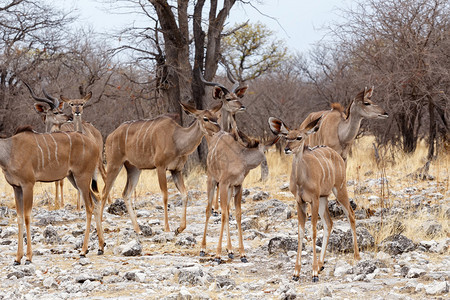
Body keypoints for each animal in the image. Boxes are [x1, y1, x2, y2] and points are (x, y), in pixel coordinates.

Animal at [0, 126, 104, 264]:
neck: (9, 151)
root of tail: (95, 146)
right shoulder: (16, 188)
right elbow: (19, 218)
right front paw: (17, 258)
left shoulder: (28, 185)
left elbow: (27, 217)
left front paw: (28, 257)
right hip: (74, 178)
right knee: (97, 200)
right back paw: (100, 247)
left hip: (82, 177)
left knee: (89, 207)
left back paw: (83, 251)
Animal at [101, 102, 221, 236]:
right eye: (205, 118)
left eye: (216, 117)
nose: (219, 130)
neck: (176, 140)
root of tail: (109, 137)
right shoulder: (160, 167)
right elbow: (165, 196)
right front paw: (167, 228)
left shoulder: (176, 170)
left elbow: (185, 194)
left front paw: (179, 228)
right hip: (114, 164)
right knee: (104, 192)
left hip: (134, 169)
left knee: (126, 193)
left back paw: (138, 230)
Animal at [200, 129, 278, 262]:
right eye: (264, 149)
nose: (265, 161)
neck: (241, 161)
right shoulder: (224, 183)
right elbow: (223, 215)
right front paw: (218, 254)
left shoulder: (238, 185)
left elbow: (237, 215)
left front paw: (242, 254)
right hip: (212, 180)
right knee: (208, 210)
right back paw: (203, 249)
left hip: (229, 189)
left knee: (227, 209)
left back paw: (230, 249)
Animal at [268, 116, 360, 282]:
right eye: (286, 137)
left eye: (299, 137)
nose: (287, 149)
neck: (301, 180)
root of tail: (337, 155)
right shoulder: (300, 202)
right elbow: (300, 232)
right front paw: (296, 273)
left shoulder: (313, 200)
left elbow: (313, 232)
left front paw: (314, 273)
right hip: (324, 197)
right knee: (329, 223)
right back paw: (321, 264)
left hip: (339, 189)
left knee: (350, 214)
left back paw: (356, 257)